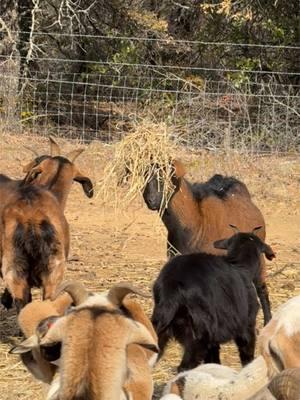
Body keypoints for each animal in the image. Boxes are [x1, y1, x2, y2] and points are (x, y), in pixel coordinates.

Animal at [151, 228, 276, 372]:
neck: (241, 265)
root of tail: (171, 286)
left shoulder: (213, 341)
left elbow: (213, 361)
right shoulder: (246, 328)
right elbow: (247, 357)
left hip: (158, 328)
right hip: (198, 337)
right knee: (184, 367)